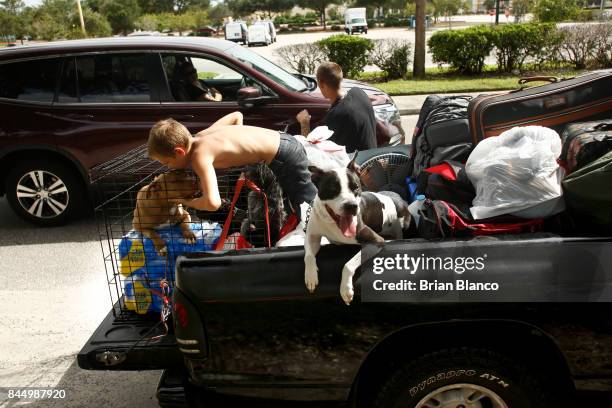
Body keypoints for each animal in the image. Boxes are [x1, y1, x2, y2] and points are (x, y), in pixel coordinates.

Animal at [304, 154, 414, 306]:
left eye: (356, 187)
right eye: (332, 189)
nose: (351, 205)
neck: (333, 224)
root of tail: (400, 200)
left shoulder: (376, 241)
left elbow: (347, 265)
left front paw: (346, 289)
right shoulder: (312, 236)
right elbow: (308, 256)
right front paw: (310, 276)